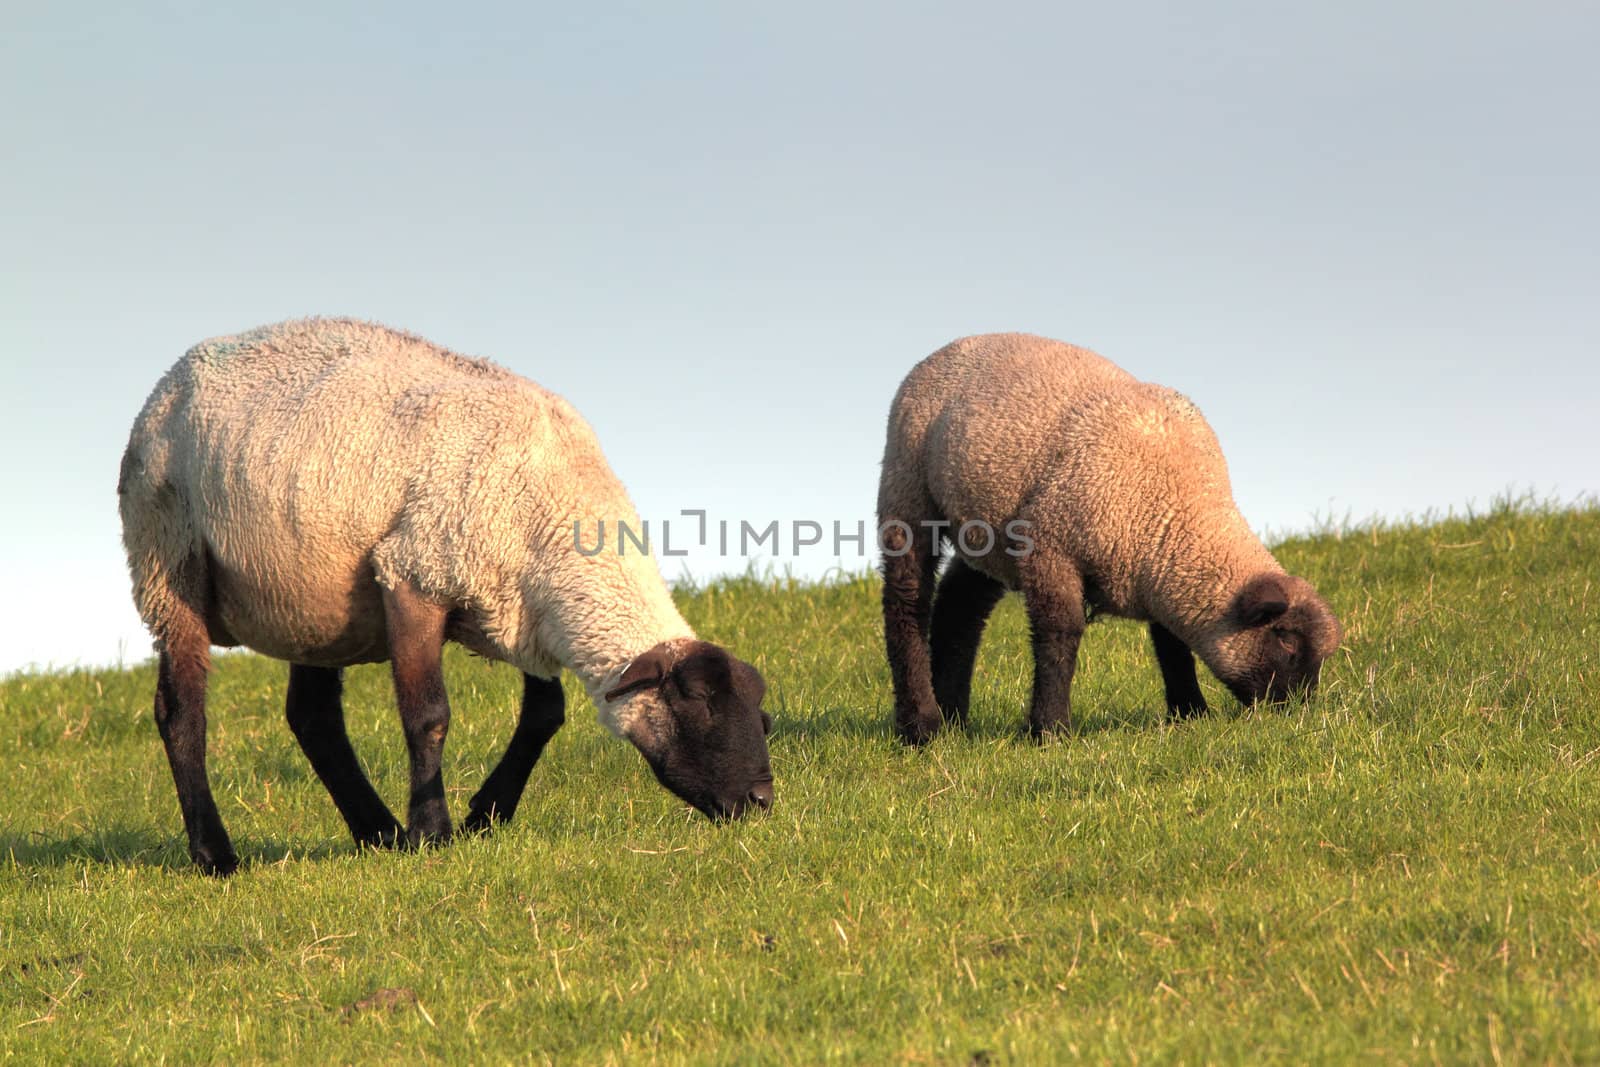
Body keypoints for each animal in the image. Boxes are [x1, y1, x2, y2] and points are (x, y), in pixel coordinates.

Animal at [118, 316, 774, 876]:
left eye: (762, 714)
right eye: (697, 702)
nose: (761, 799)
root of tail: (168, 382)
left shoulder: (525, 611)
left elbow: (544, 715)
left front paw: (486, 814)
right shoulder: (413, 574)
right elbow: (428, 717)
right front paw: (434, 832)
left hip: (312, 602)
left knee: (313, 716)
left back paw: (377, 832)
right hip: (167, 557)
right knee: (181, 712)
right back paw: (217, 856)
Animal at [876, 331, 1337, 742]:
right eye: (1287, 643)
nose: (1295, 710)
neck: (1177, 505)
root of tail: (950, 347)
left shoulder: (1161, 568)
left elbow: (1171, 643)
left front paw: (1190, 712)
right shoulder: (1051, 547)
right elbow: (1060, 636)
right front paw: (1050, 730)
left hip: (989, 529)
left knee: (959, 605)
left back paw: (953, 716)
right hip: (906, 485)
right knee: (906, 602)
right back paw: (921, 726)